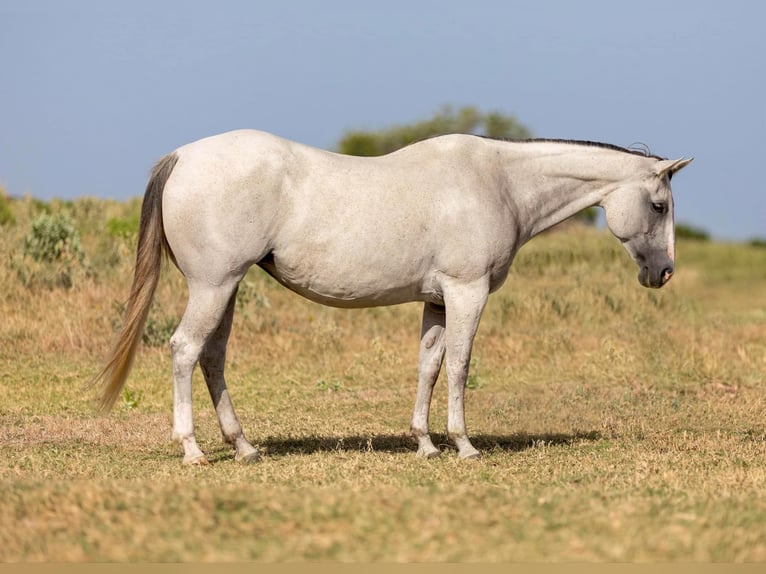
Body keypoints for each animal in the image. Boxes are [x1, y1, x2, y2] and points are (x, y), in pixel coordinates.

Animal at [92, 130, 692, 464]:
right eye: (659, 205)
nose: (663, 273)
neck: (498, 182)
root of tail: (182, 157)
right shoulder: (467, 292)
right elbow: (460, 366)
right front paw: (464, 446)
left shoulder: (437, 300)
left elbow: (429, 365)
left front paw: (425, 444)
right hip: (214, 286)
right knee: (185, 351)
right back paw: (193, 450)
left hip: (227, 288)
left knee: (212, 358)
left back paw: (244, 447)